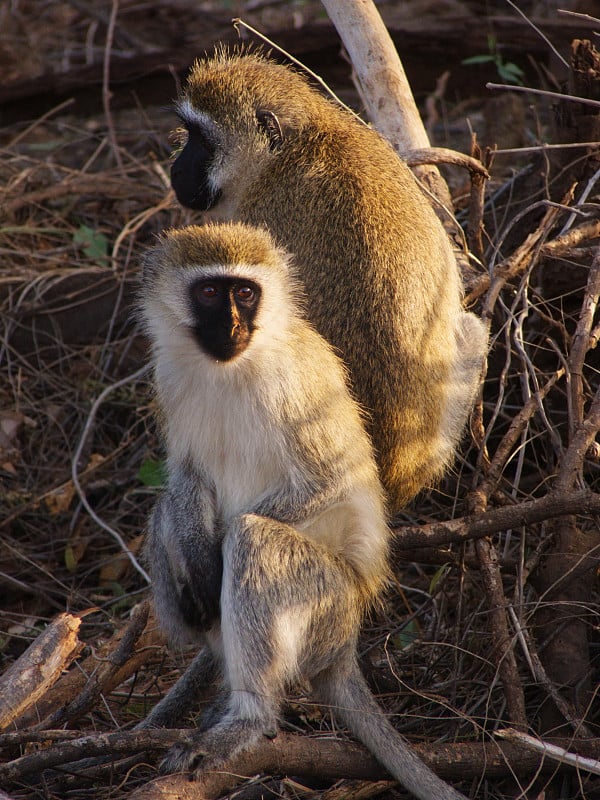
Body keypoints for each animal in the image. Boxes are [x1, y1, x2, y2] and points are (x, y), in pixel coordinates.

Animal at [141, 223, 468, 800]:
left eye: (245, 293)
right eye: (210, 292)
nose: (232, 324)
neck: (232, 367)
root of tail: (347, 639)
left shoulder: (290, 384)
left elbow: (328, 479)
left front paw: (216, 558)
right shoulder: (170, 376)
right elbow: (186, 476)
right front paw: (199, 563)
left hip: (325, 598)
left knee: (252, 539)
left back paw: (249, 717)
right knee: (168, 522)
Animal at [170, 50, 488, 516]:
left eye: (202, 141)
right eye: (189, 133)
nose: (177, 169)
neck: (297, 145)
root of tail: (394, 478)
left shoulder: (259, 213)